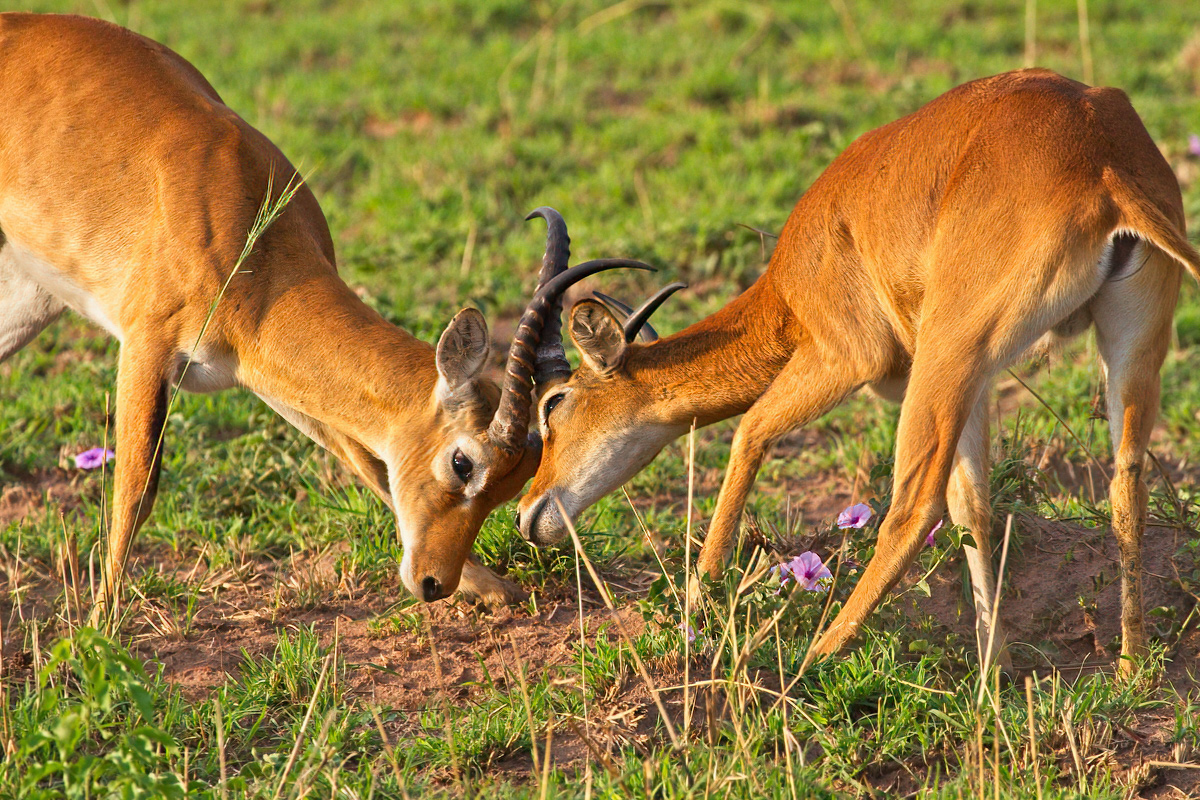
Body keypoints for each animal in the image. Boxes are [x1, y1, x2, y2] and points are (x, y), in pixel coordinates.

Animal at [0, 10, 648, 614]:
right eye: (464, 463)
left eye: (510, 486)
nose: (433, 583)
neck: (256, 249)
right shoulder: (145, 347)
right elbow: (136, 489)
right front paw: (99, 628)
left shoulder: (268, 378)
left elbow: (368, 465)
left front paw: (491, 587)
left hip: (30, 299)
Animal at [520, 68, 1200, 671]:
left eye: (554, 402)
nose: (528, 513)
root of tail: (1104, 162)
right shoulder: (980, 384)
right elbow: (975, 508)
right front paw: (994, 672)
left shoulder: (841, 357)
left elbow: (748, 434)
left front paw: (697, 604)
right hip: (1120, 349)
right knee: (1125, 483)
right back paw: (1130, 664)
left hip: (946, 356)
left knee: (910, 509)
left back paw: (813, 660)